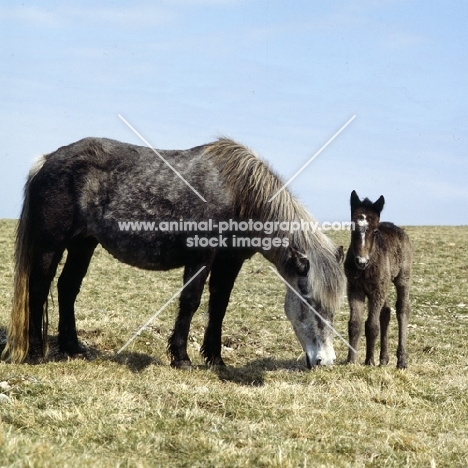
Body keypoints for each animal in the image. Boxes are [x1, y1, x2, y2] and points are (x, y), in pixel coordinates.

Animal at [1, 137, 346, 368]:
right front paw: (181, 357)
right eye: (309, 302)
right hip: (51, 243)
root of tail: (47, 160)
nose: (325, 361)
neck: (237, 192)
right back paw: (35, 353)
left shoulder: (229, 261)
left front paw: (215, 358)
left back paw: (73, 348)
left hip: (83, 244)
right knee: (39, 288)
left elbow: (219, 306)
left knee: (67, 288)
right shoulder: (201, 257)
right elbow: (190, 302)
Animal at [344, 190, 414, 370]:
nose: (361, 261)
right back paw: (383, 358)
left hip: (402, 279)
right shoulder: (354, 289)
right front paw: (351, 361)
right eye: (352, 226)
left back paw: (401, 360)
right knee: (386, 311)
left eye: (375, 231)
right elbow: (355, 324)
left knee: (402, 310)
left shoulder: (376, 291)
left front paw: (369, 361)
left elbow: (371, 325)